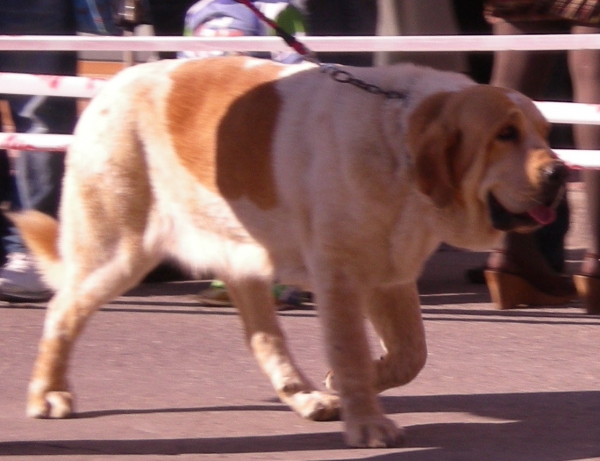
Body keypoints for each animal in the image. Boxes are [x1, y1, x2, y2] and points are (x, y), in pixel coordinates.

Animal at [11, 55, 568, 448]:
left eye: (545, 133)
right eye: (505, 135)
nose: (560, 172)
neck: (401, 147)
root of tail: (108, 85)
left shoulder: (388, 276)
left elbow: (411, 355)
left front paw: (347, 385)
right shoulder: (341, 275)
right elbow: (351, 348)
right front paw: (367, 420)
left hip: (241, 256)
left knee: (263, 337)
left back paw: (305, 396)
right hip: (117, 250)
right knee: (62, 310)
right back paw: (48, 393)